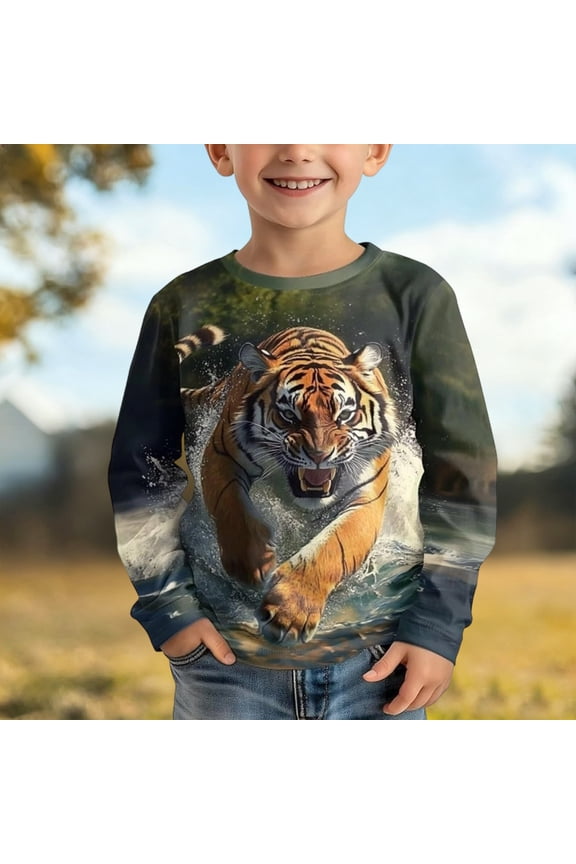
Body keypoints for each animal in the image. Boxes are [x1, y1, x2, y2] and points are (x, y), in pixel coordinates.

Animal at [175, 325, 397, 643]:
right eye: (289, 415)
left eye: (344, 415)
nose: (319, 455)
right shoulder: (222, 455)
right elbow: (232, 508)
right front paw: (253, 563)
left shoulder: (367, 497)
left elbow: (332, 547)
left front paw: (290, 612)